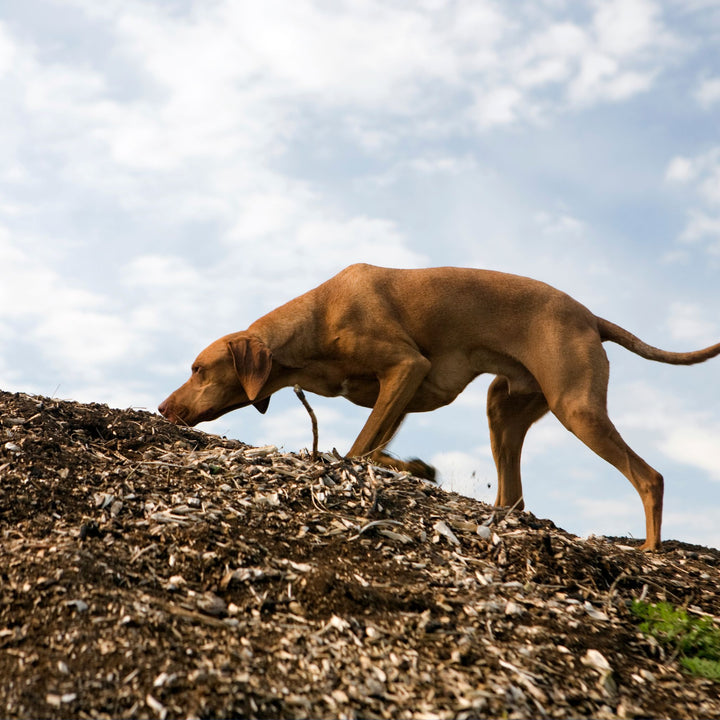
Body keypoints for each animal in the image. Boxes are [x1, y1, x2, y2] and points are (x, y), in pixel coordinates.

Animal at [159, 264, 720, 552]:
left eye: (198, 369)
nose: (164, 408)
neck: (315, 322)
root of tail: (592, 317)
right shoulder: (402, 390)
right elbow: (377, 447)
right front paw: (414, 468)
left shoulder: (406, 367)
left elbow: (360, 448)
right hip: (504, 408)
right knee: (513, 497)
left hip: (576, 406)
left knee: (649, 477)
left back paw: (649, 549)